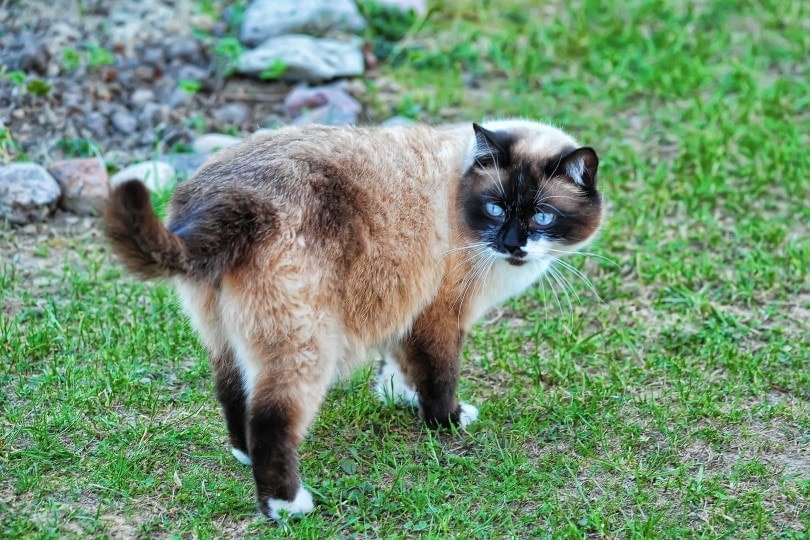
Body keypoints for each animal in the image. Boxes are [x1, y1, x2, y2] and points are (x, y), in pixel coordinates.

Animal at [104, 119, 600, 520]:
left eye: (542, 216)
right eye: (496, 208)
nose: (513, 244)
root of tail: (223, 202)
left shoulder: (406, 309)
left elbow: (401, 367)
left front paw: (398, 396)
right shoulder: (440, 315)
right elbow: (440, 377)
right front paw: (448, 421)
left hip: (228, 339)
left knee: (232, 394)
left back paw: (243, 456)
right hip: (307, 344)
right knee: (271, 420)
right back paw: (287, 506)